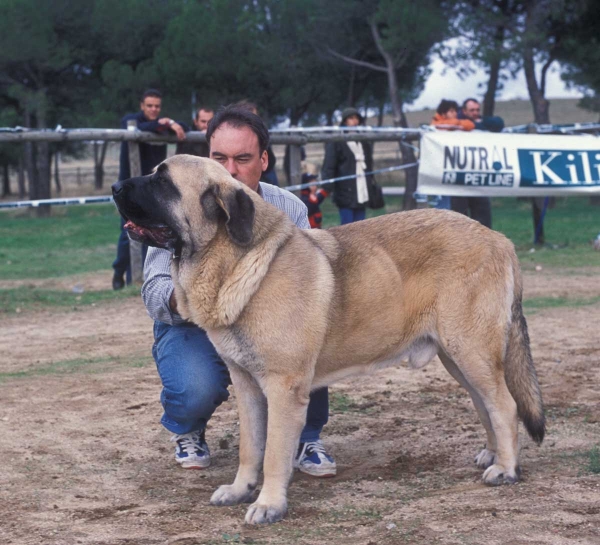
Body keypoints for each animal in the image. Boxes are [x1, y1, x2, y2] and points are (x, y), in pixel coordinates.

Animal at [111, 153, 544, 524]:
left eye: (163, 181)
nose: (115, 186)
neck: (232, 262)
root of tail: (500, 239)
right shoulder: (246, 385)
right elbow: (251, 447)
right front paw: (240, 489)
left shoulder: (284, 388)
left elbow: (274, 453)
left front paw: (268, 504)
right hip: (459, 359)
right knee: (486, 404)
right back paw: (494, 454)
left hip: (471, 351)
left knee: (505, 405)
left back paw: (506, 469)